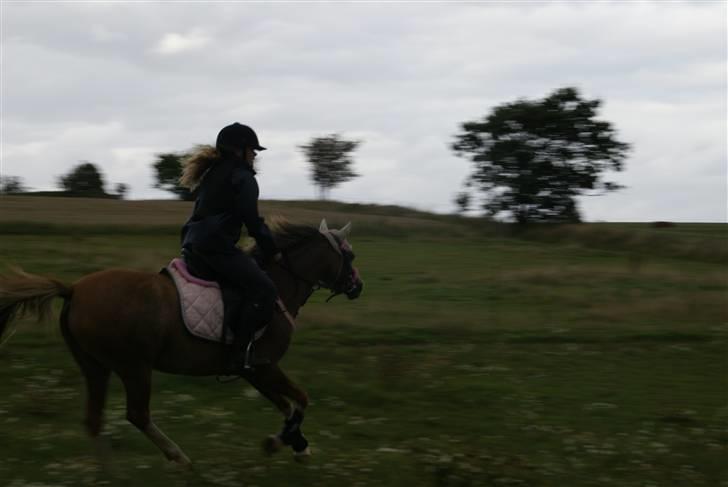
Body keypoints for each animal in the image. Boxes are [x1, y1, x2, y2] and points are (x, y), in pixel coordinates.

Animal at [0, 220, 362, 466]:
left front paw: (294, 444)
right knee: (137, 414)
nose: (358, 287)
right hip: (134, 367)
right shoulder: (263, 366)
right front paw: (283, 443)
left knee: (94, 421)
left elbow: (287, 405)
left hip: (95, 367)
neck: (278, 285)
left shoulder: (253, 370)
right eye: (351, 255)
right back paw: (178, 458)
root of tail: (74, 289)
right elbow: (300, 400)